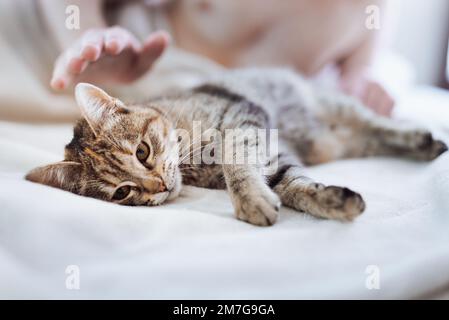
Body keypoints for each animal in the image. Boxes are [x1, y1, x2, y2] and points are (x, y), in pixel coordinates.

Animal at [26, 69, 446, 226]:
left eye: (142, 153)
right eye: (123, 193)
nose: (159, 186)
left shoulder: (245, 120)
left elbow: (235, 161)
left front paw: (248, 199)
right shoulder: (275, 158)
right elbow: (295, 185)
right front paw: (329, 200)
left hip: (335, 106)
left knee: (377, 123)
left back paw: (422, 139)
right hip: (337, 142)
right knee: (369, 137)